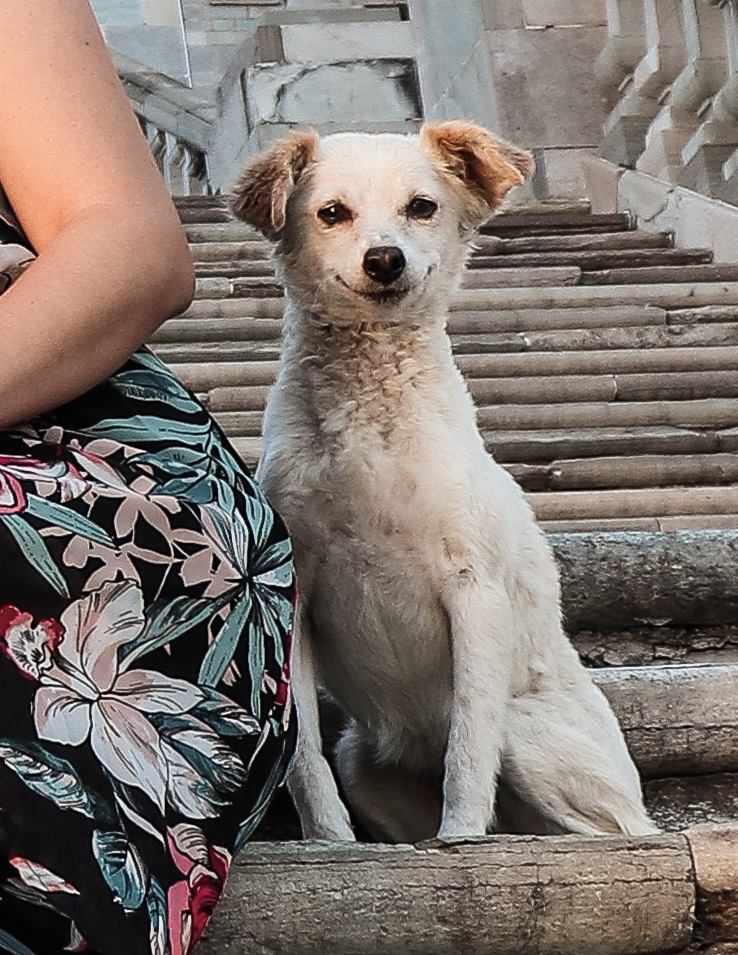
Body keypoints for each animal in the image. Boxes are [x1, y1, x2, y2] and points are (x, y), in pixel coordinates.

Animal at [231, 121, 656, 844]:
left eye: (422, 207)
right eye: (331, 212)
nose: (385, 259)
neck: (370, 424)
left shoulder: (474, 591)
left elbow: (469, 749)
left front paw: (458, 838)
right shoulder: (297, 596)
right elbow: (305, 755)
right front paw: (330, 844)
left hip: (531, 737)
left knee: (608, 825)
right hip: (366, 765)